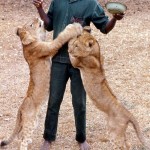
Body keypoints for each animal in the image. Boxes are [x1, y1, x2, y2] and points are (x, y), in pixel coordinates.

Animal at [0, 17, 82, 150]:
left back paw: (28, 140)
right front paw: (73, 27)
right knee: (22, 140)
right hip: (31, 122)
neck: (27, 45)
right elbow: (61, 37)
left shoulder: (43, 41)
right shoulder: (49, 47)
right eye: (31, 24)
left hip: (32, 122)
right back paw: (25, 145)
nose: (36, 17)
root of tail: (20, 108)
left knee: (21, 136)